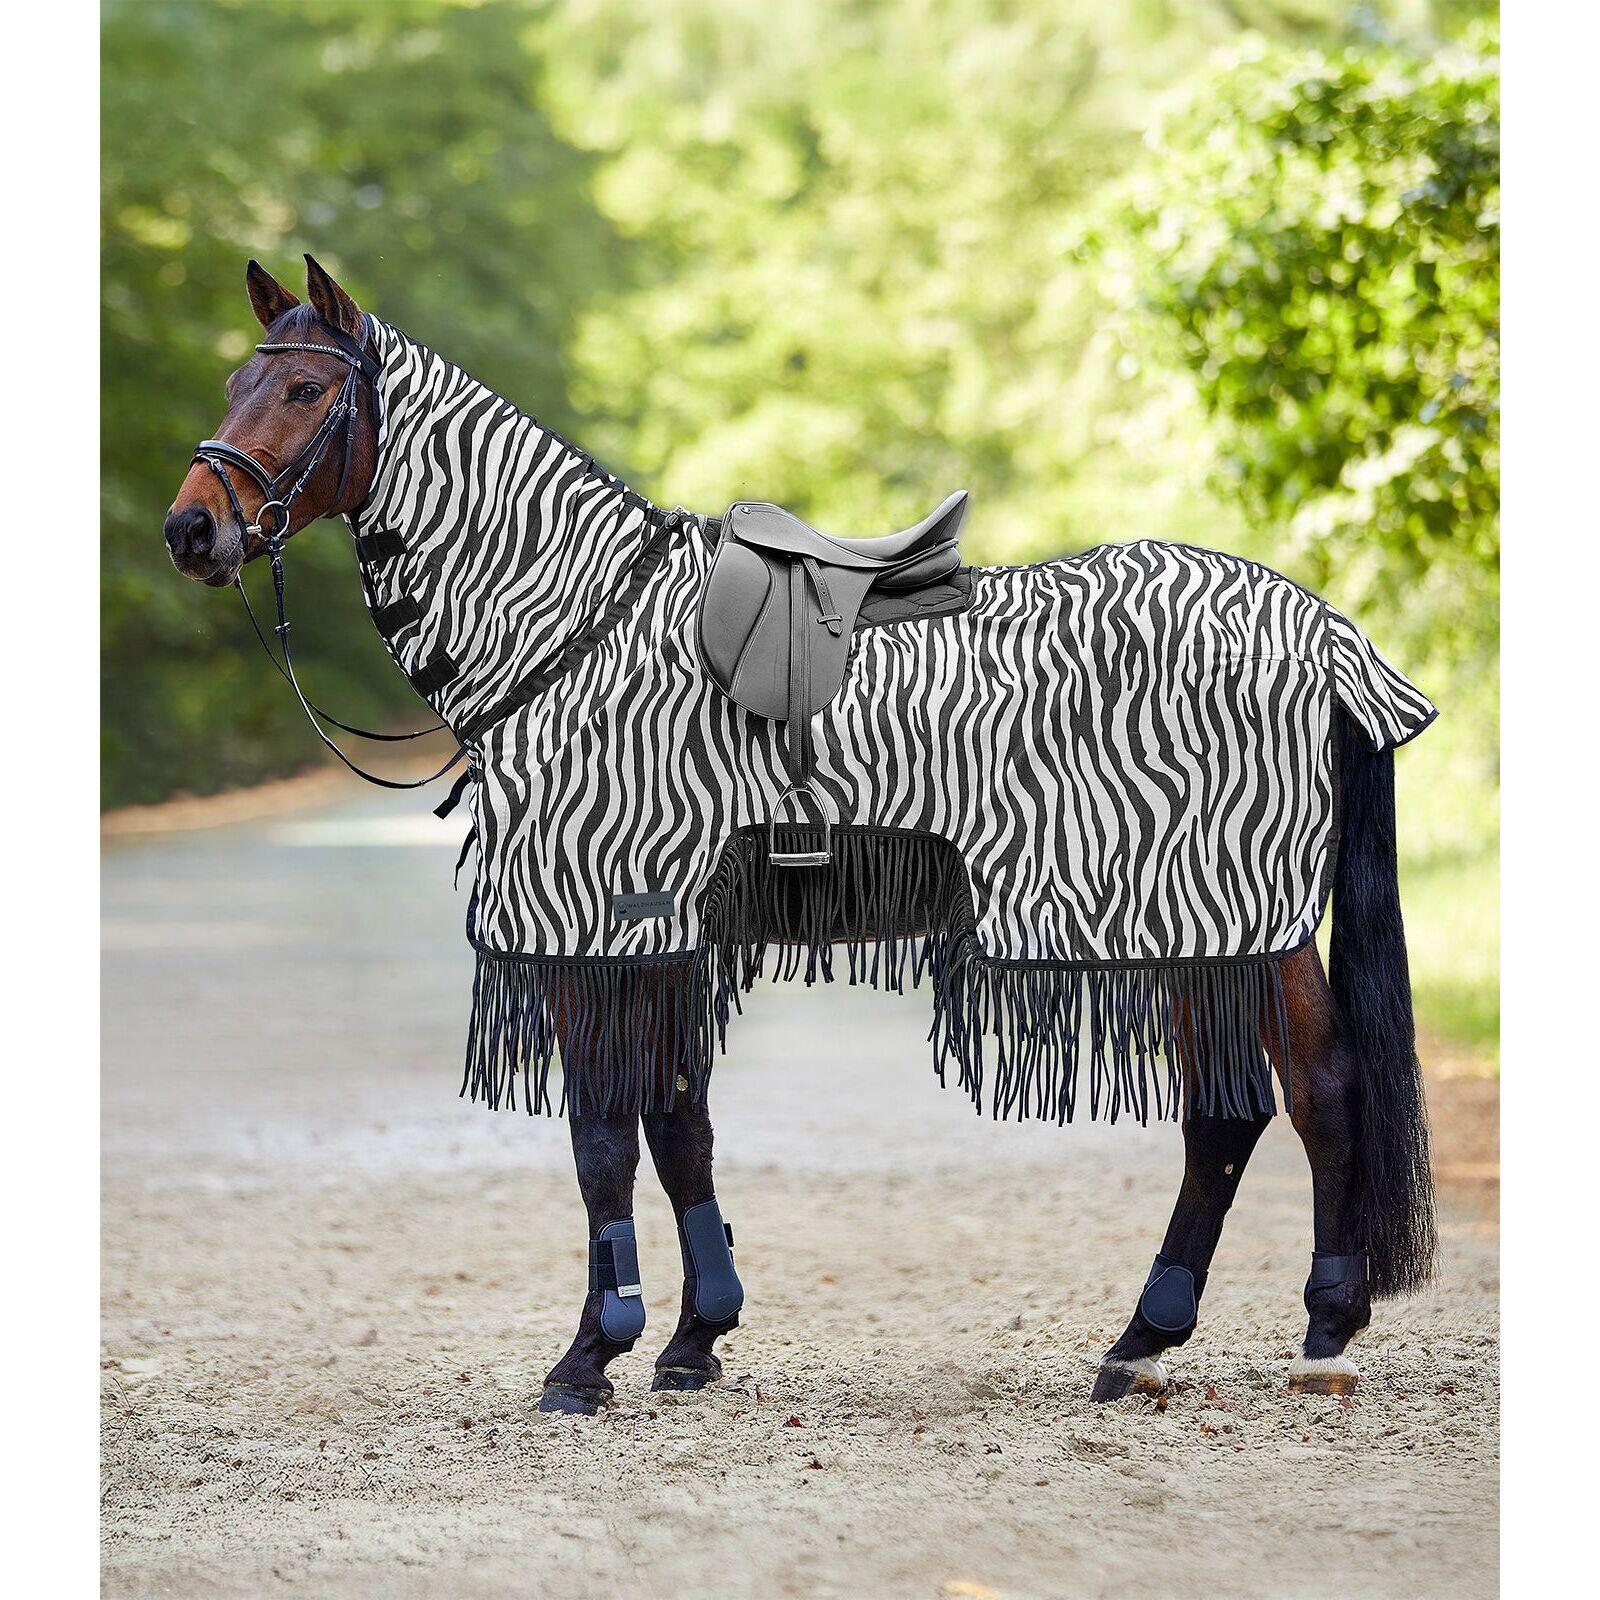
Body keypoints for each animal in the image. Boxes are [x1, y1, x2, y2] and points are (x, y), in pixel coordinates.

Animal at [162, 256, 1436, 1414]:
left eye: (301, 391)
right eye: (232, 379)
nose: (190, 529)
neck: (576, 623)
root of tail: (1322, 630)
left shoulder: (600, 920)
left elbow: (601, 1137)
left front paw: (590, 1355)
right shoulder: (662, 927)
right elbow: (679, 1122)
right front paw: (692, 1339)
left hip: (1227, 912)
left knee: (1305, 1092)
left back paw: (1296, 1331)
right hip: (1202, 923)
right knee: (1252, 1106)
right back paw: (1167, 1338)